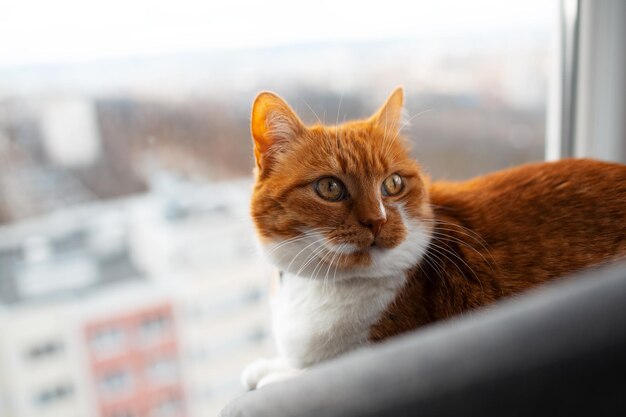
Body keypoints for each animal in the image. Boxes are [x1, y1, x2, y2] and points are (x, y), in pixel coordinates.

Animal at [240, 86, 624, 388]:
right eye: (329, 188)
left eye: (393, 184)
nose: (377, 220)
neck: (327, 286)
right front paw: (265, 366)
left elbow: (316, 370)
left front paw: (275, 374)